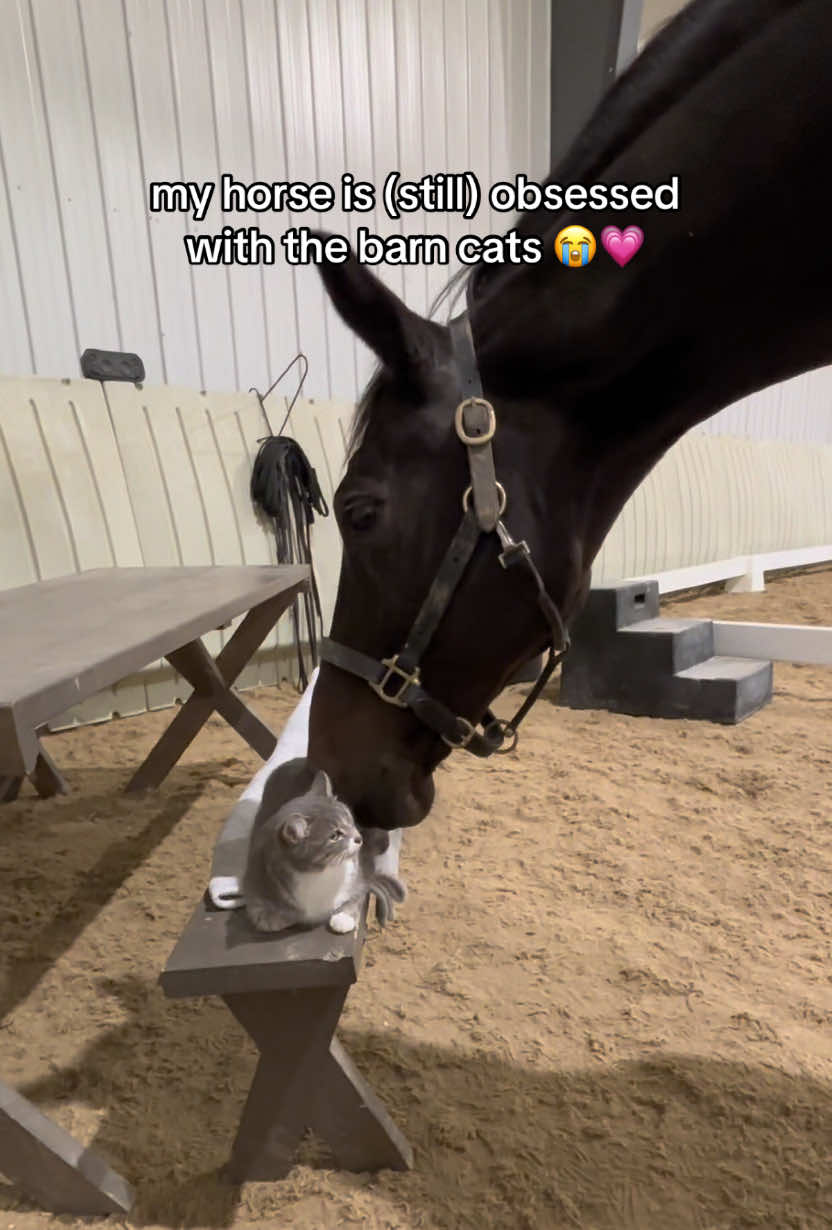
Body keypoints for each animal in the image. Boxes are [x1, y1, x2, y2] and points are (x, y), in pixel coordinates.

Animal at [240, 752, 406, 934]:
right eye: (334, 836)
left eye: (350, 820)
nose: (359, 838)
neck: (321, 872)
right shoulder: (255, 879)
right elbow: (262, 914)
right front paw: (275, 916)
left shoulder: (360, 875)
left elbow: (356, 896)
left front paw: (344, 918)